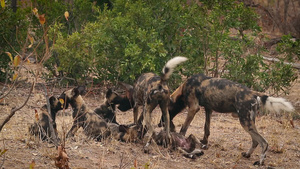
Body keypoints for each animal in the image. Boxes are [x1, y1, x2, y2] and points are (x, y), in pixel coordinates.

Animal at [161, 73, 294, 165]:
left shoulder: (194, 108)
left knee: (264, 142)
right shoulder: (208, 109)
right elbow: (206, 129)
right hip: (249, 122)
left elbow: (184, 128)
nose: (159, 123)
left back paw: (260, 162)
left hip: (244, 122)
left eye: (165, 112)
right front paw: (204, 142)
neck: (184, 87)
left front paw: (181, 139)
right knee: (255, 141)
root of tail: (252, 93)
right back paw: (247, 155)